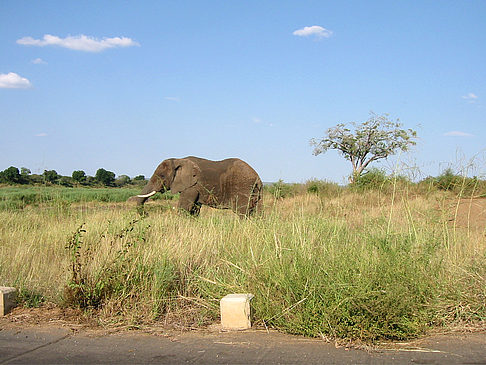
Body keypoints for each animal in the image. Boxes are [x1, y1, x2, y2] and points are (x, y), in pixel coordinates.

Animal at [129, 156, 262, 216]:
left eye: (162, 176)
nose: (147, 214)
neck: (178, 160)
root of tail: (257, 177)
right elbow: (194, 209)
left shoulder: (192, 186)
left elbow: (183, 208)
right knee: (255, 212)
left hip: (243, 187)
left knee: (242, 212)